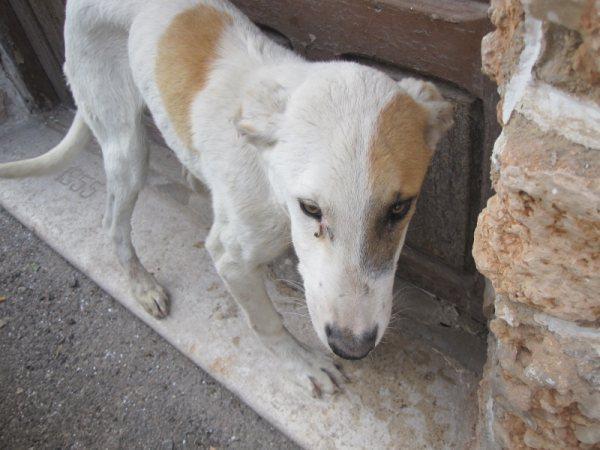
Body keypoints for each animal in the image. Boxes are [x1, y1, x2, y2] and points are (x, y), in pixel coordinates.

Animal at [0, 0, 450, 394]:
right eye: (310, 208)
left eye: (399, 208)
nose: (352, 348)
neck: (271, 180)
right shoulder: (229, 255)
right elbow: (266, 321)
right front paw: (301, 364)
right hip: (127, 146)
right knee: (113, 223)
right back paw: (142, 284)